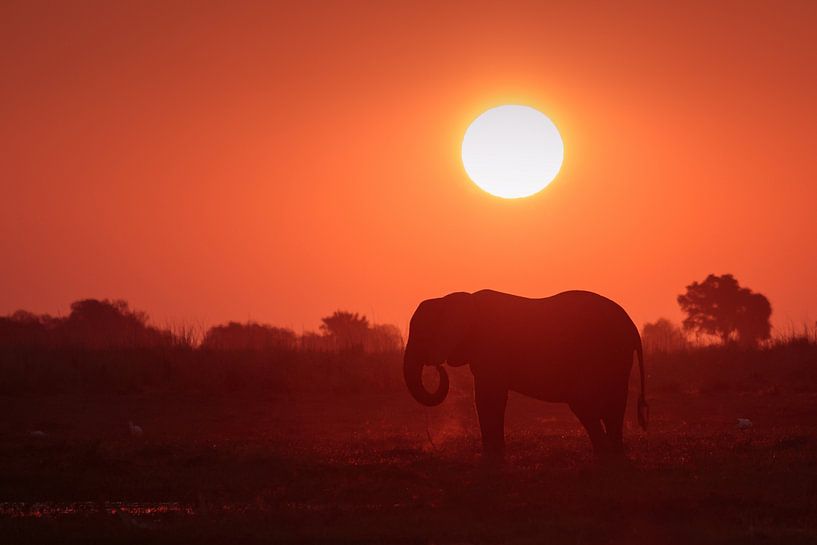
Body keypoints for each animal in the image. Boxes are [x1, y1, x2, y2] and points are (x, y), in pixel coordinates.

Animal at [403, 289, 648, 462]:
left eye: (422, 334)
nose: (436, 367)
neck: (454, 298)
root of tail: (631, 325)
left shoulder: (490, 349)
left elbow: (487, 398)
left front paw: (491, 458)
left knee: (584, 403)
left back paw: (605, 458)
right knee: (612, 406)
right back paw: (614, 457)